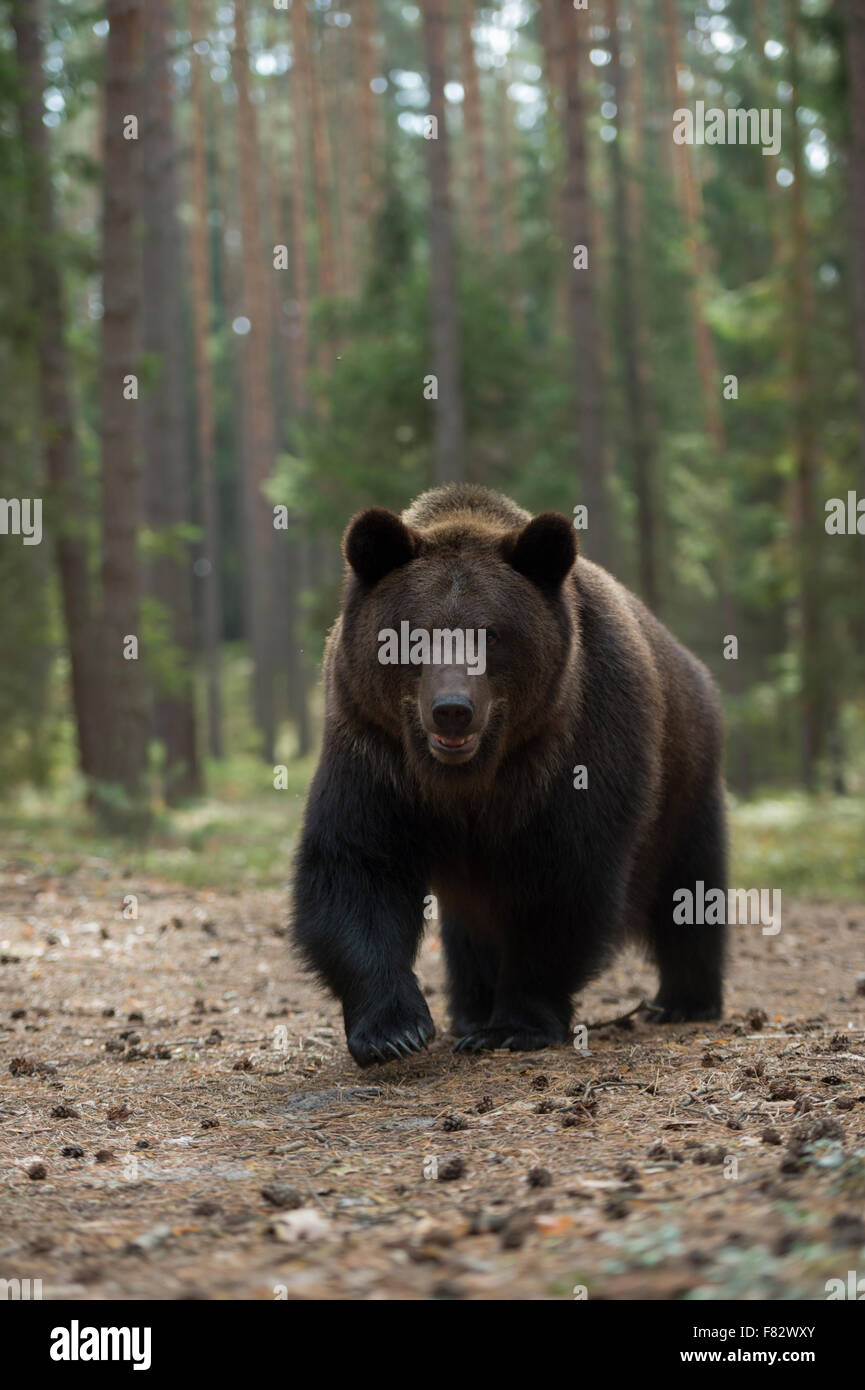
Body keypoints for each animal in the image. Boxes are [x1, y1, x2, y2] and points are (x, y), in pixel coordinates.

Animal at [292, 483, 723, 1067]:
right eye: (413, 635)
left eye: (491, 635)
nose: (452, 710)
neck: (470, 777)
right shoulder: (373, 751)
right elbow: (357, 867)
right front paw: (394, 1030)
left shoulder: (579, 741)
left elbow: (564, 880)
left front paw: (516, 1024)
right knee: (469, 927)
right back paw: (471, 1008)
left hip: (686, 780)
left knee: (690, 890)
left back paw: (685, 999)